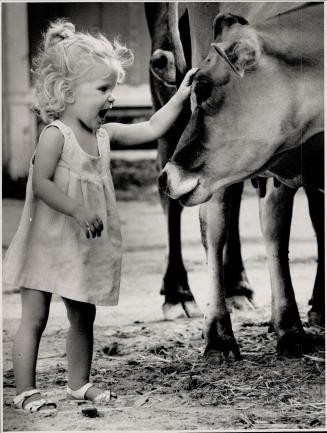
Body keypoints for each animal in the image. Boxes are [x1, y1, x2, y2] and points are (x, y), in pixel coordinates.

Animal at [159, 1, 326, 358]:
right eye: (195, 90)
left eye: (204, 89)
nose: (167, 176)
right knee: (217, 225)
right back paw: (220, 335)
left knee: (274, 226)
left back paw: (287, 326)